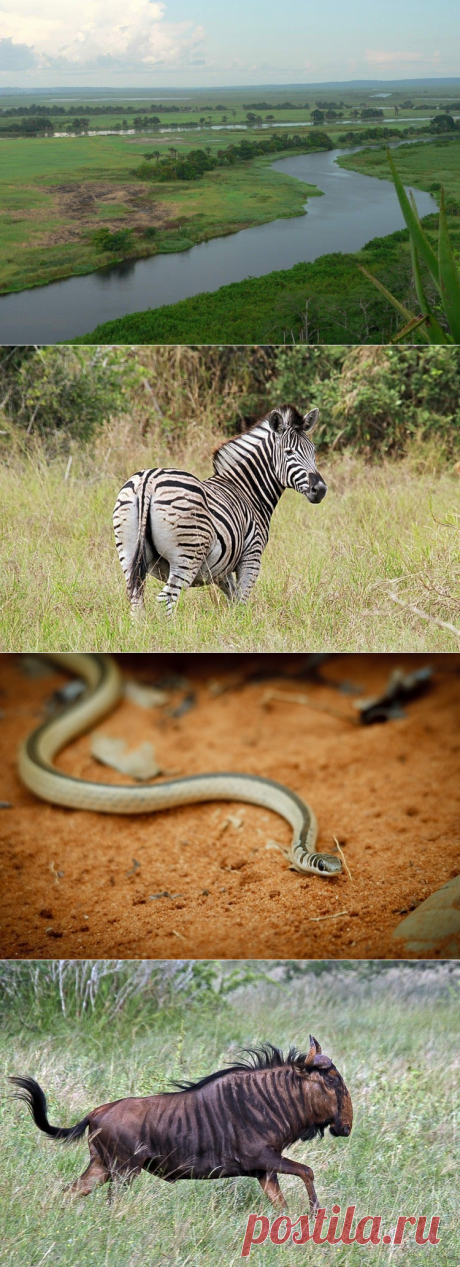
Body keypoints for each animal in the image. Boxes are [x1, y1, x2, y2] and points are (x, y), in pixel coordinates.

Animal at [112, 402, 326, 615]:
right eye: (289, 452)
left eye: (313, 451)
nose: (320, 489)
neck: (246, 490)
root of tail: (148, 482)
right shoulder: (252, 556)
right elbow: (243, 601)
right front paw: (244, 622)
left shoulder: (222, 569)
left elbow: (233, 601)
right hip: (187, 555)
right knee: (167, 599)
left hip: (128, 553)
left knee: (136, 602)